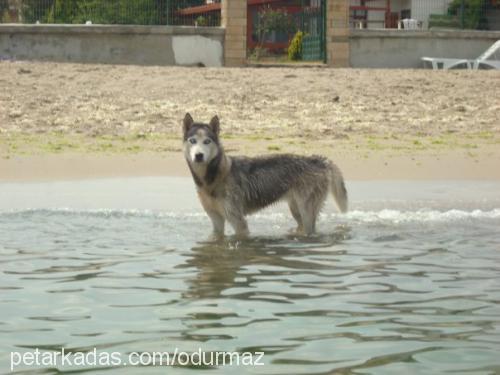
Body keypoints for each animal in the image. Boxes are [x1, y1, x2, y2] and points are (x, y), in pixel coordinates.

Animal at [183, 113, 348, 239]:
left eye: (207, 141)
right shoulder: (216, 219)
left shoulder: (238, 221)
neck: (212, 178)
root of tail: (319, 160)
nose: (199, 155)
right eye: (193, 141)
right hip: (296, 210)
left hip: (307, 213)